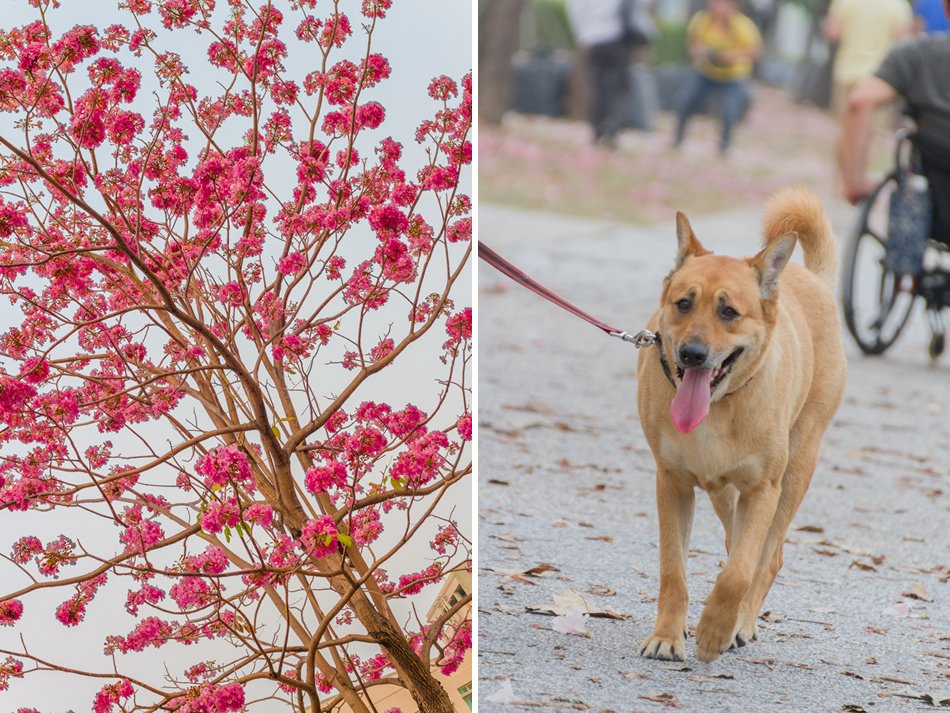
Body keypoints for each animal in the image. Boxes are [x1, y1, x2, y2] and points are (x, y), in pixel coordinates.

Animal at [640, 188, 848, 660]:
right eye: (683, 303)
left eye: (729, 312)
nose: (692, 354)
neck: (718, 407)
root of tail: (811, 278)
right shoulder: (671, 482)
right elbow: (673, 570)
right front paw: (668, 635)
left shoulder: (763, 489)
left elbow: (739, 572)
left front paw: (716, 629)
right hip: (723, 492)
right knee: (735, 541)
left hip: (795, 471)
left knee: (766, 557)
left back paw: (741, 622)